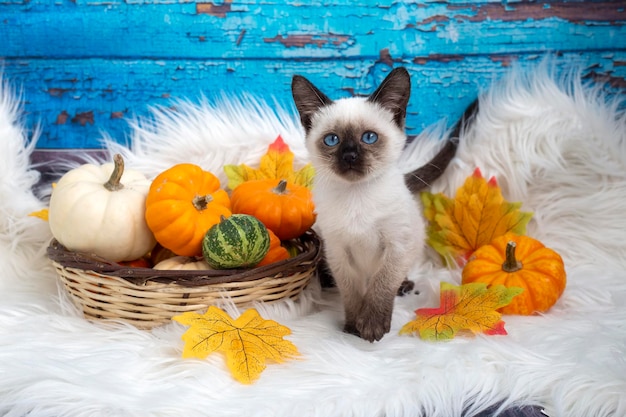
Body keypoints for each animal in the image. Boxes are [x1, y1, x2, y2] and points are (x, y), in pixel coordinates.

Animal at [292, 67, 464, 342]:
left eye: (369, 137)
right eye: (332, 140)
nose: (350, 156)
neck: (357, 195)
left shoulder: (396, 247)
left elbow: (381, 286)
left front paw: (372, 327)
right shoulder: (339, 253)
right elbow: (352, 294)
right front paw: (353, 328)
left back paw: (404, 286)